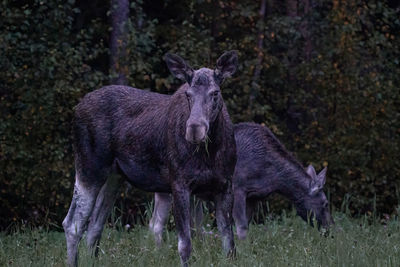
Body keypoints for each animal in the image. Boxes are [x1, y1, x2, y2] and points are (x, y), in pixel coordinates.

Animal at [61, 51, 238, 266]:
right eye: (188, 94)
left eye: (215, 93)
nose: (194, 129)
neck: (210, 152)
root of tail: (77, 107)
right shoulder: (179, 183)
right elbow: (185, 245)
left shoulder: (225, 185)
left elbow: (228, 244)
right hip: (89, 167)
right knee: (73, 224)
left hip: (114, 176)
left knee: (95, 225)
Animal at [150, 123, 334, 243]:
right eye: (325, 203)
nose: (331, 230)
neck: (273, 177)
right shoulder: (237, 188)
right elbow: (241, 226)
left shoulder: (254, 196)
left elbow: (245, 225)